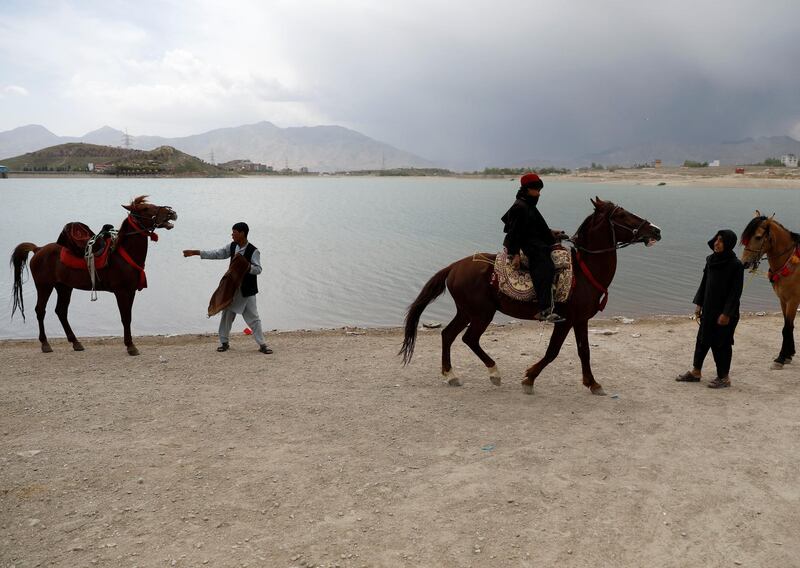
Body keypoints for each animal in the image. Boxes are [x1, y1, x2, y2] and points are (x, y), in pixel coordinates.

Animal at [11, 195, 177, 356]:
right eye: (145, 208)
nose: (171, 213)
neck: (123, 254)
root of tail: (38, 249)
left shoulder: (131, 291)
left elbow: (128, 317)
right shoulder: (121, 292)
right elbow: (125, 318)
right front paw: (130, 346)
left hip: (64, 287)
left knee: (61, 311)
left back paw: (76, 342)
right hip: (44, 286)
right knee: (40, 310)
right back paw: (45, 344)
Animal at [400, 197, 664, 392]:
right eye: (622, 215)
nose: (656, 230)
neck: (583, 270)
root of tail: (454, 267)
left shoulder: (580, 320)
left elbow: (584, 351)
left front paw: (592, 383)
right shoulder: (566, 320)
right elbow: (553, 351)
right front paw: (529, 378)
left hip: (467, 311)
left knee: (448, 335)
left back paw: (451, 375)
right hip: (481, 313)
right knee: (469, 339)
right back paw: (493, 373)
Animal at [740, 212, 796, 368]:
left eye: (758, 237)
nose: (744, 262)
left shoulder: (793, 301)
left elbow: (787, 328)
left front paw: (781, 358)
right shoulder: (783, 300)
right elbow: (788, 326)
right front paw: (788, 354)